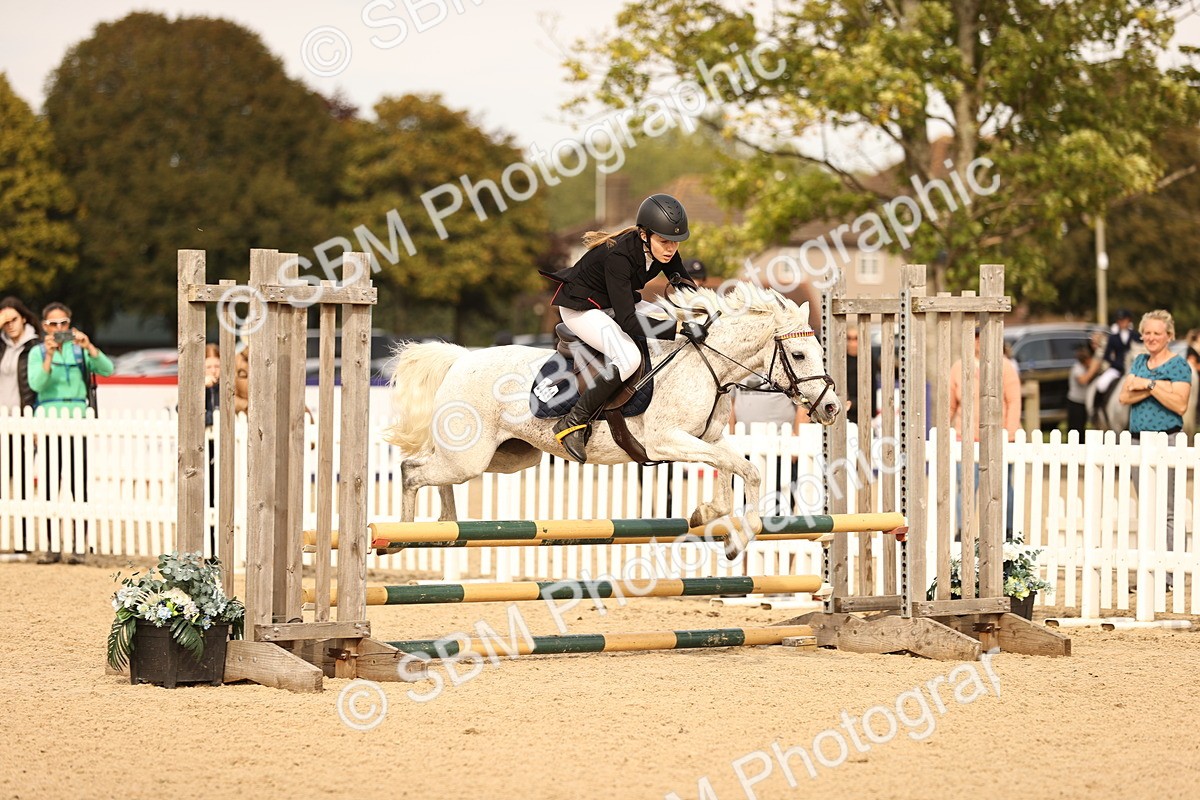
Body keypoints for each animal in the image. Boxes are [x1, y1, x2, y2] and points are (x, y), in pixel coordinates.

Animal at [383, 282, 842, 557]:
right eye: (798, 355)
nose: (832, 408)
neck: (707, 365)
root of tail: (461, 358)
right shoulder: (666, 440)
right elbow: (743, 468)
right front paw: (739, 534)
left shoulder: (708, 438)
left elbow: (736, 467)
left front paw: (710, 514)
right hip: (471, 456)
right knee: (411, 470)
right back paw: (401, 536)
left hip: (510, 457)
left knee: (432, 472)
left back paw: (445, 525)